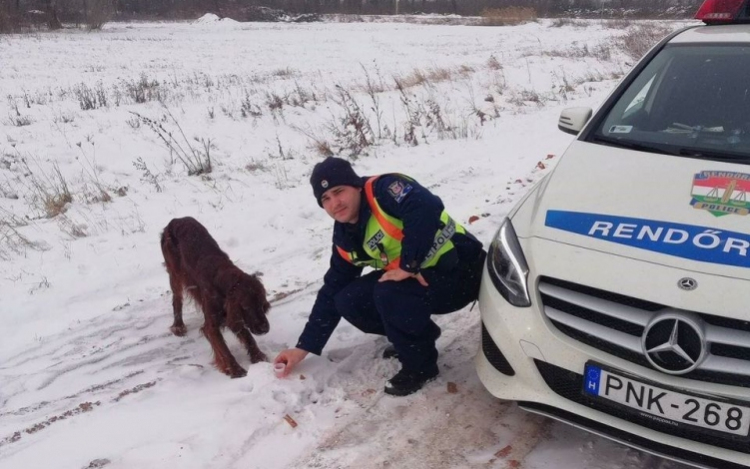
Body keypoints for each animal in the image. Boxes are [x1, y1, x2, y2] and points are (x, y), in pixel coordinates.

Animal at [160, 216, 272, 376]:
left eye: (262, 305)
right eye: (246, 307)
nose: (264, 329)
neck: (223, 280)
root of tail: (175, 220)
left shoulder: (231, 314)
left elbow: (248, 336)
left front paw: (258, 356)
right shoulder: (211, 325)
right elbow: (223, 349)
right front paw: (235, 369)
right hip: (175, 273)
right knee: (177, 299)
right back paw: (178, 326)